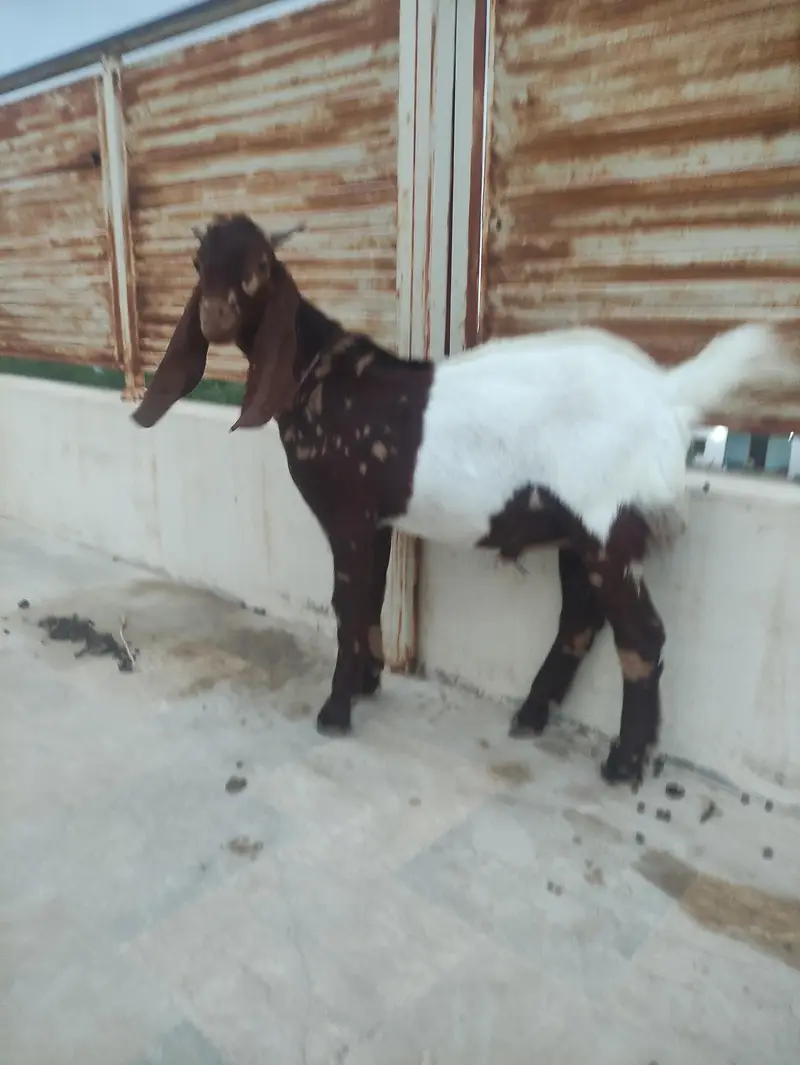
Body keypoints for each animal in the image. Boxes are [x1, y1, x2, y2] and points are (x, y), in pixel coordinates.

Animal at [131, 213, 799, 786]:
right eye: (198, 263)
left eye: (261, 266)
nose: (214, 317)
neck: (323, 377)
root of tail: (668, 391)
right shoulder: (377, 520)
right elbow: (370, 598)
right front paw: (369, 681)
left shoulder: (347, 513)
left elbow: (347, 603)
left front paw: (336, 709)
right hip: (580, 532)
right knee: (581, 620)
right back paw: (531, 716)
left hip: (609, 524)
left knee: (643, 637)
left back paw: (622, 764)